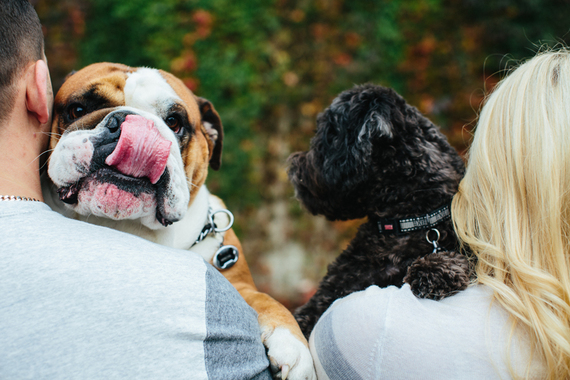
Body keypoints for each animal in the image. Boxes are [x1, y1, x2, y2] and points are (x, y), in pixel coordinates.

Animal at [288, 84, 470, 338]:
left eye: (325, 134)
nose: (294, 167)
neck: (406, 222)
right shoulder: (329, 292)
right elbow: (301, 319)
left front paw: (433, 269)